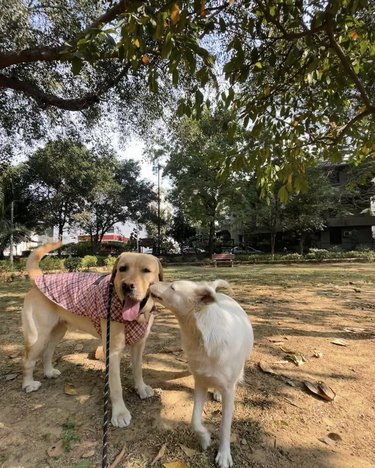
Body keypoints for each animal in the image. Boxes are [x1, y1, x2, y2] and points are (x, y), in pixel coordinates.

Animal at [151, 280, 256, 466]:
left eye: (172, 287)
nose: (151, 282)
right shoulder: (200, 382)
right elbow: (194, 420)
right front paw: (205, 439)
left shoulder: (229, 391)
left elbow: (224, 427)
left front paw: (223, 455)